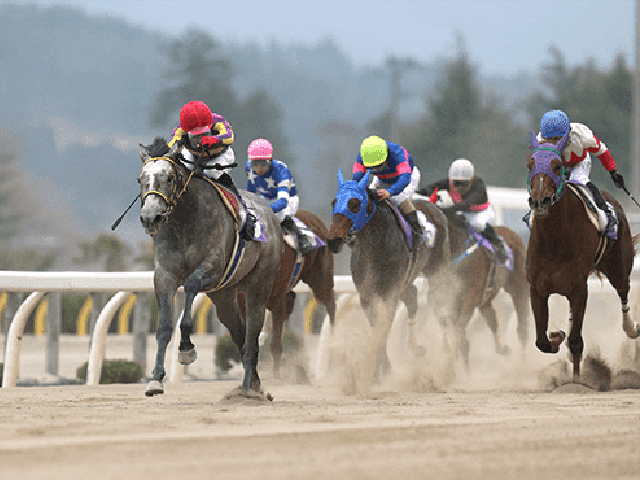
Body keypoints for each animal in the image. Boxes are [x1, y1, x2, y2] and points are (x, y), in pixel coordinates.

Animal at [139, 140, 282, 398]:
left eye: (169, 178)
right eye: (140, 179)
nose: (150, 217)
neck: (184, 220)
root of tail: (270, 214)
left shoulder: (212, 269)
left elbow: (190, 292)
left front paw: (186, 349)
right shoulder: (164, 276)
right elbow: (164, 327)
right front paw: (155, 380)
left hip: (259, 285)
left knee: (251, 336)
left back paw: (247, 388)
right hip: (223, 296)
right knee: (239, 334)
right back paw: (254, 383)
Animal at [328, 171, 448, 376]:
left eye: (355, 204)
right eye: (333, 202)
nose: (333, 241)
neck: (375, 244)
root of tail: (433, 205)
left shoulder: (390, 293)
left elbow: (383, 327)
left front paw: (383, 369)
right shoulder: (367, 295)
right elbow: (376, 327)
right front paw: (379, 368)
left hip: (437, 269)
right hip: (407, 281)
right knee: (412, 297)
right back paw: (416, 347)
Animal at [430, 207, 528, 372]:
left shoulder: (469, 298)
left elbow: (459, 332)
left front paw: (451, 372)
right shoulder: (447, 299)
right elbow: (453, 330)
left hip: (518, 287)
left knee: (522, 328)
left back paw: (522, 364)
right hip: (486, 298)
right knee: (493, 320)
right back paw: (502, 349)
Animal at [528, 130, 636, 378]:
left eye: (557, 166)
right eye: (530, 164)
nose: (539, 201)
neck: (555, 241)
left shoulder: (579, 290)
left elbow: (576, 341)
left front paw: (577, 381)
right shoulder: (537, 288)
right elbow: (542, 341)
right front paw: (556, 336)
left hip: (619, 267)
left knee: (624, 292)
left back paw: (631, 328)